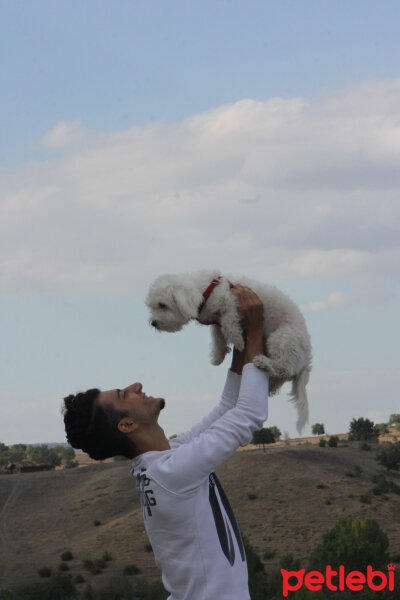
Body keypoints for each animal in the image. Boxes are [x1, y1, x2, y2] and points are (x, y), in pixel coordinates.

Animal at [147, 270, 312, 434]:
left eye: (162, 305)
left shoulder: (231, 304)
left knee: (285, 368)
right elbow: (218, 336)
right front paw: (218, 356)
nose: (153, 323)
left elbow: (228, 323)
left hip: (281, 338)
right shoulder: (216, 321)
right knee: (282, 375)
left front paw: (238, 340)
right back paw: (269, 382)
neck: (207, 291)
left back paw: (264, 363)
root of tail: (306, 357)